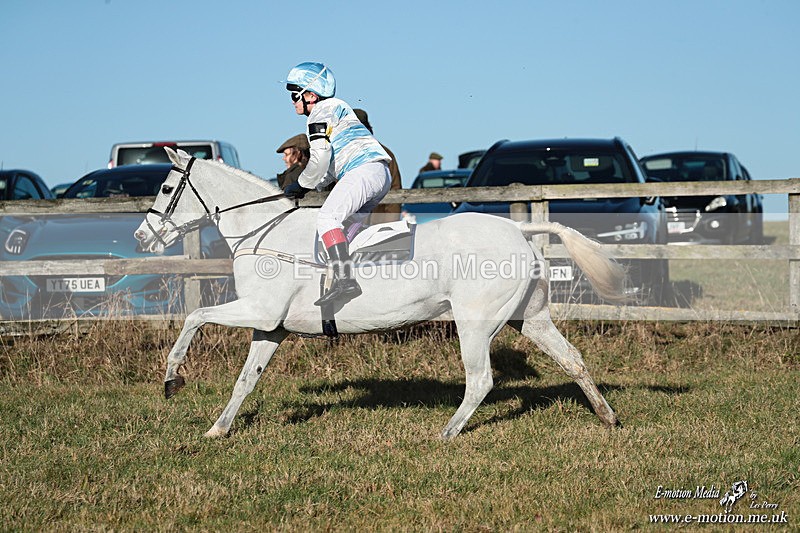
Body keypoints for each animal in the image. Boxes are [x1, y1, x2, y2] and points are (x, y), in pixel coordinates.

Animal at [134, 147, 627, 439]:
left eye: (165, 186)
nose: (142, 237)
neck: (263, 231)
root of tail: (518, 230)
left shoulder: (257, 311)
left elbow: (194, 318)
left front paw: (172, 378)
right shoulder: (270, 327)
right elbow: (245, 379)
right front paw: (218, 430)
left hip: (475, 322)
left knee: (481, 379)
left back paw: (447, 433)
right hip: (531, 318)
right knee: (573, 359)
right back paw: (608, 417)